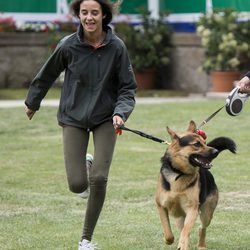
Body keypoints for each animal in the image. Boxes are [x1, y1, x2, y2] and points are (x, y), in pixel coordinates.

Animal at [156, 120, 236, 249]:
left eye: (205, 142)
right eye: (197, 144)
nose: (216, 151)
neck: (179, 173)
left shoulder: (192, 209)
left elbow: (186, 231)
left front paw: (182, 245)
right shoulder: (161, 206)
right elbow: (168, 233)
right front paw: (169, 241)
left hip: (206, 213)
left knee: (201, 228)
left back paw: (201, 245)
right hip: (179, 217)